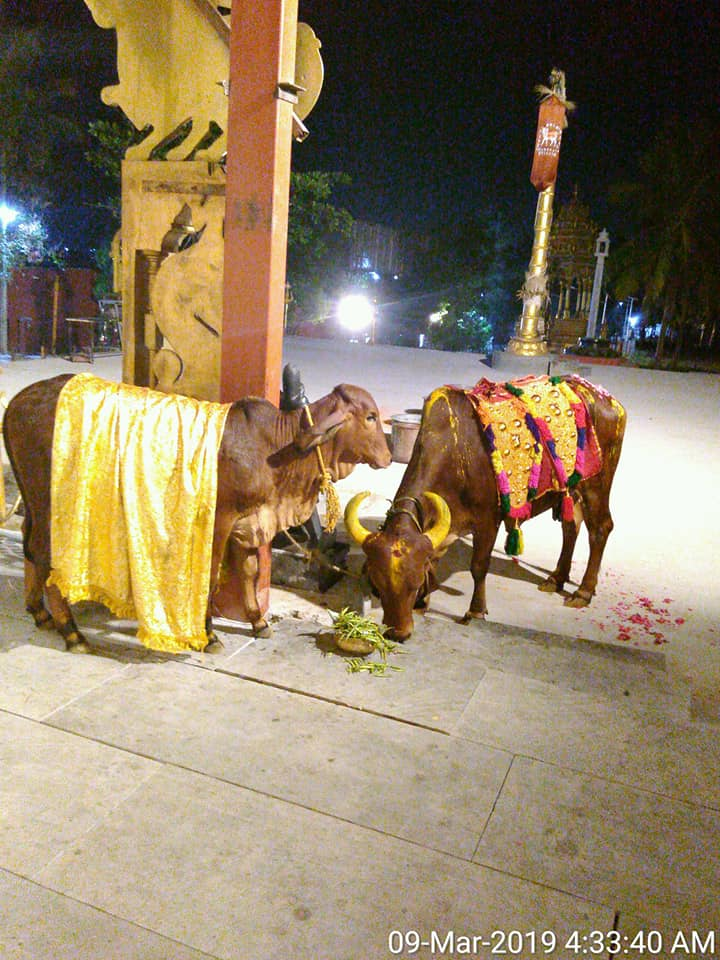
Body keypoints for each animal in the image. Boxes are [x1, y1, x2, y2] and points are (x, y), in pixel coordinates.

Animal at [3, 374, 391, 652]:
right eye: (370, 417)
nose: (388, 457)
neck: (273, 447)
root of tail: (18, 401)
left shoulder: (248, 524)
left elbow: (249, 572)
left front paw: (258, 622)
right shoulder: (218, 522)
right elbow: (211, 579)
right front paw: (209, 635)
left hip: (33, 504)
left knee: (29, 545)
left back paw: (40, 613)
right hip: (52, 505)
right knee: (45, 555)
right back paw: (72, 632)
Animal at [345, 376, 626, 639]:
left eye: (414, 583)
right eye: (378, 585)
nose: (398, 632)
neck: (457, 454)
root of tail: (605, 397)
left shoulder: (488, 521)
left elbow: (479, 567)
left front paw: (476, 610)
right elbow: (434, 559)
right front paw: (423, 603)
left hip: (596, 486)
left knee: (600, 529)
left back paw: (584, 591)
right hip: (570, 491)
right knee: (571, 527)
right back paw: (556, 578)